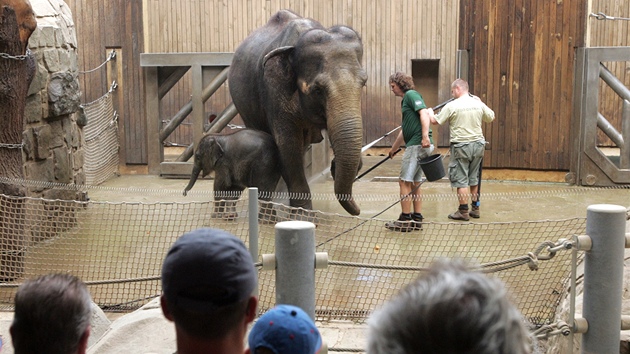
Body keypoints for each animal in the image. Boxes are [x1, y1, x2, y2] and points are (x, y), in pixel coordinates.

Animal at [228, 9, 368, 216]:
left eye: (364, 83)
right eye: (318, 90)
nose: (358, 211)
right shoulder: (274, 86)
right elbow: (288, 145)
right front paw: (303, 214)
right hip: (244, 105)